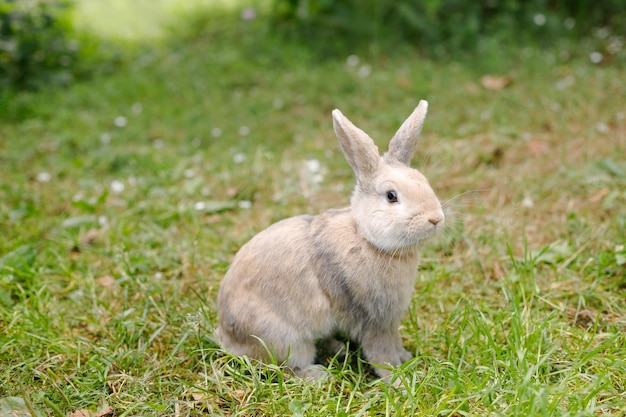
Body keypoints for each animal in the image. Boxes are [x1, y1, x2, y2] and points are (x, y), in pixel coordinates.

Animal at [216, 101, 444, 380]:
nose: (436, 219)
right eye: (391, 196)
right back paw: (318, 375)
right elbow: (382, 353)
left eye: (425, 182)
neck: (366, 239)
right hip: (285, 339)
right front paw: (398, 378)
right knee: (284, 367)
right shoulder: (373, 319)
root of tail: (227, 336)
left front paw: (407, 359)